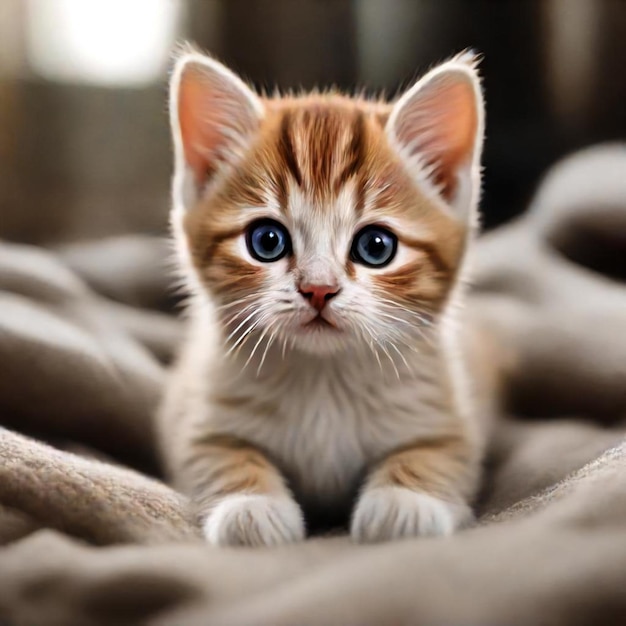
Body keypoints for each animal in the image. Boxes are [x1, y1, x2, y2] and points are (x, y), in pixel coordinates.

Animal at [158, 45, 486, 544]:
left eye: (376, 247)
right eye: (266, 241)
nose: (318, 288)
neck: (325, 380)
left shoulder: (449, 417)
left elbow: (437, 456)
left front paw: (404, 502)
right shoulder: (193, 416)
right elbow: (217, 456)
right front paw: (251, 506)